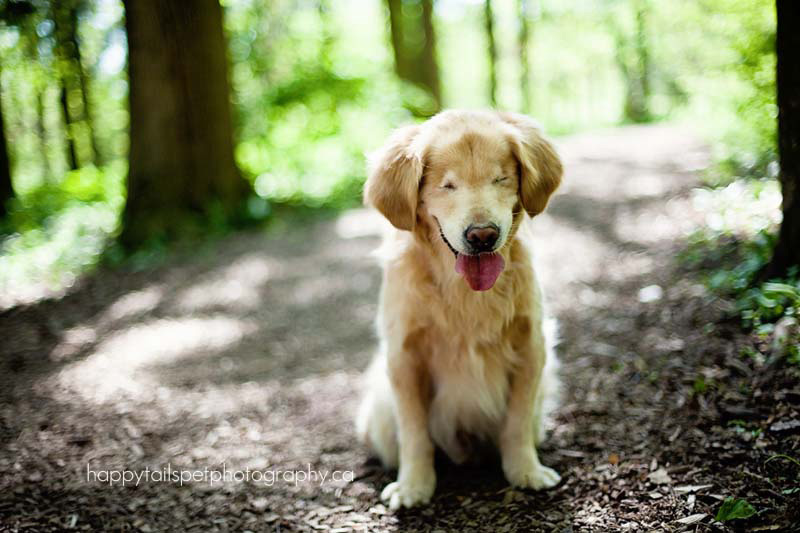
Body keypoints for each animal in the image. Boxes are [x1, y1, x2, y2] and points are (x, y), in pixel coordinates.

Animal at [356, 108, 564, 508]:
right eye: (446, 186)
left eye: (501, 178)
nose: (483, 236)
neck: (465, 290)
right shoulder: (404, 357)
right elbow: (414, 432)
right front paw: (413, 486)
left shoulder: (532, 346)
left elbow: (516, 423)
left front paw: (526, 471)